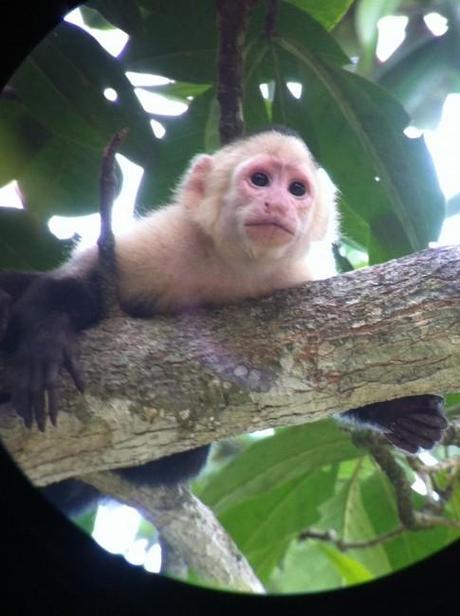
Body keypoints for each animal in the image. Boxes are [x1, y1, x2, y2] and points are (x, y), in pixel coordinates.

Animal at [0, 129, 446, 516]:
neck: (235, 267)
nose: (277, 204)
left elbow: (342, 368)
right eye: (260, 180)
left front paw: (400, 411)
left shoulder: (300, 276)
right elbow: (79, 286)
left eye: (296, 190)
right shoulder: (160, 241)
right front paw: (45, 339)